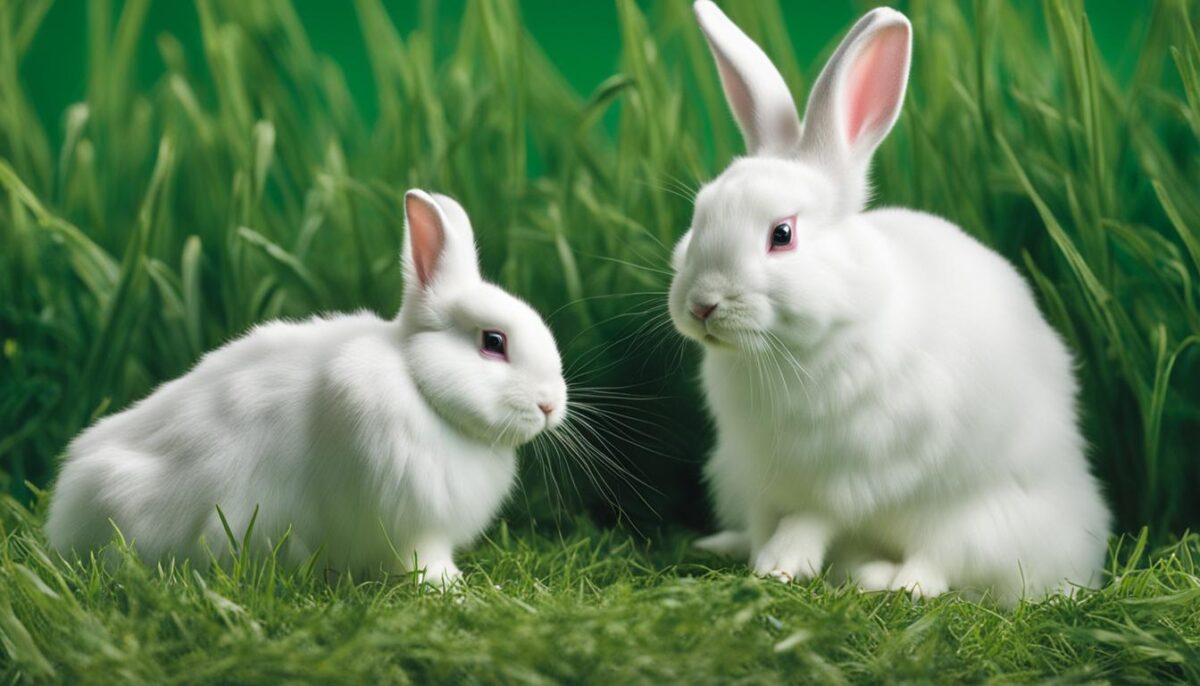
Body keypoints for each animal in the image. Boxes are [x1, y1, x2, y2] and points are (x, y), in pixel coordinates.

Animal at [46, 190, 568, 583]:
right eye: (493, 342)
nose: (550, 405)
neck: (419, 386)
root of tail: (68, 513)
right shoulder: (411, 524)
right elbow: (423, 560)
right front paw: (449, 588)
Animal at [670, 1, 1110, 604]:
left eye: (782, 235)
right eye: (699, 217)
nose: (702, 305)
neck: (797, 348)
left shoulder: (856, 472)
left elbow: (814, 517)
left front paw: (781, 565)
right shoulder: (758, 473)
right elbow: (768, 519)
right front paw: (757, 555)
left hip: (976, 518)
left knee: (937, 571)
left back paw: (880, 578)